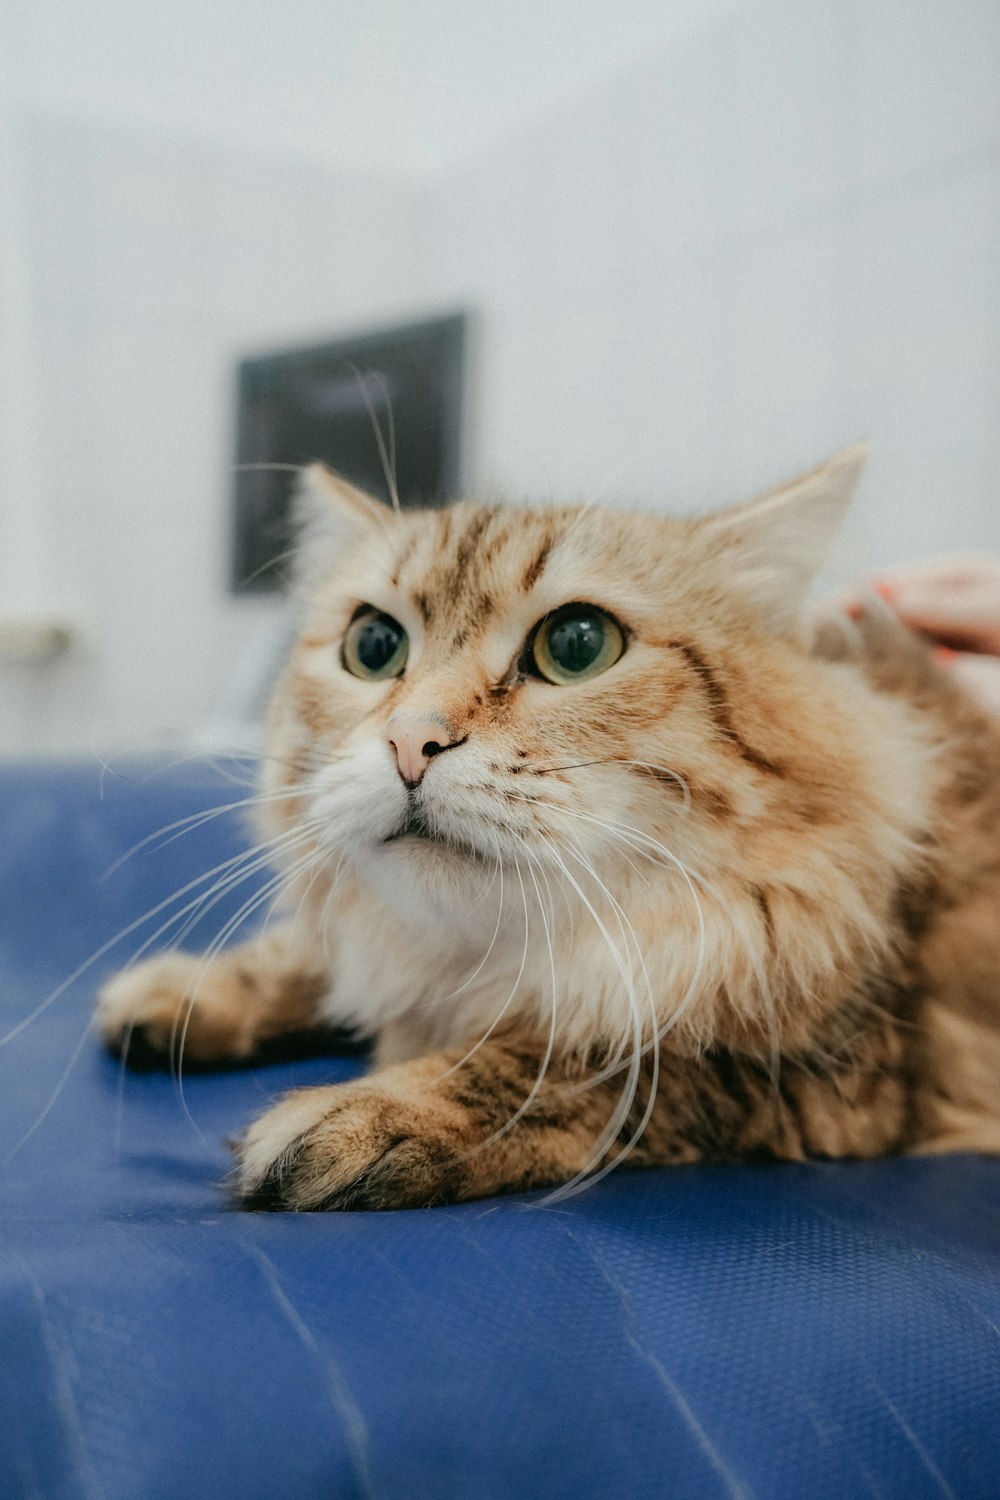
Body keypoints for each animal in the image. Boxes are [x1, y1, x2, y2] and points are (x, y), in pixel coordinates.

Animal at [95, 444, 1000, 1206]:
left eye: (577, 644)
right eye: (374, 645)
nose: (409, 741)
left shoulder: (839, 1072)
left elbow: (570, 1062)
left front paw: (372, 1113)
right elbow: (308, 958)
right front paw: (185, 992)